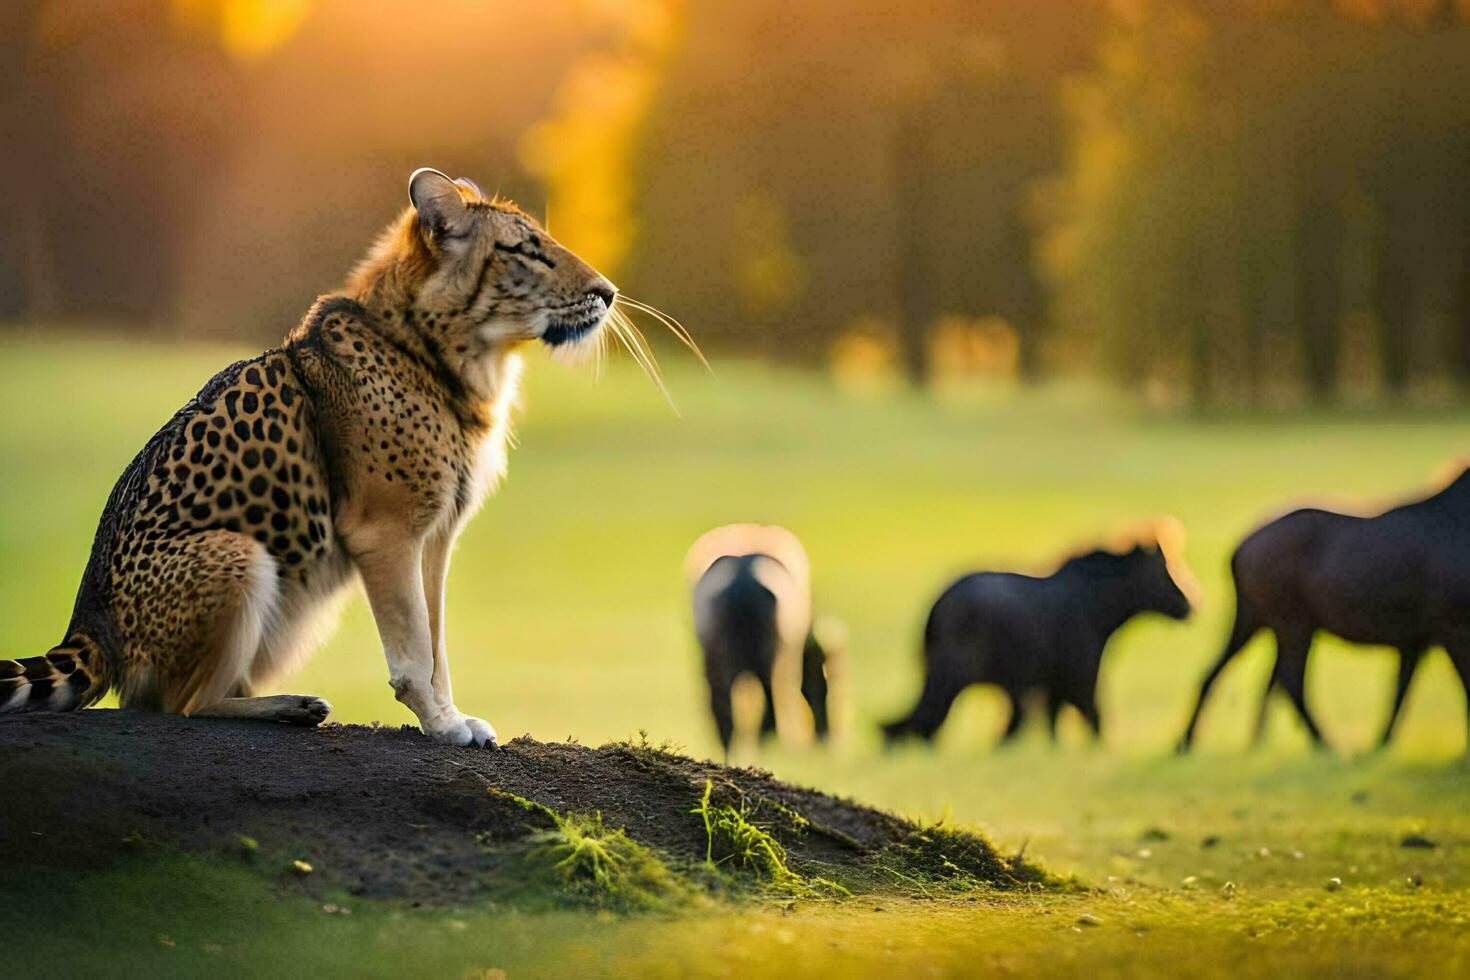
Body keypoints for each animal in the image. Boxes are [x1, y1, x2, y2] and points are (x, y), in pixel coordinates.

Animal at [0, 170, 614, 752]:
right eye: (525, 249)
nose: (607, 293)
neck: (433, 349)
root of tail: (89, 623)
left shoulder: (435, 538)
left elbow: (436, 641)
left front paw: (452, 716)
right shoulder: (386, 534)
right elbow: (415, 651)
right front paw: (441, 726)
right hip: (238, 551)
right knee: (177, 705)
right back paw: (285, 706)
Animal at [876, 528, 1187, 743]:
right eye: (1165, 572)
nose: (1190, 605)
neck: (1096, 605)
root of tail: (936, 607)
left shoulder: (1052, 685)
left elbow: (1053, 724)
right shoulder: (1079, 679)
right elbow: (1092, 718)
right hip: (957, 673)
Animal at [1176, 467, 1470, 752]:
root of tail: (1237, 551)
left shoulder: (1415, 640)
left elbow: (1400, 690)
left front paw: (1381, 744)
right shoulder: (1451, 626)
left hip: (1256, 617)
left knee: (1223, 670)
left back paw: (1193, 741)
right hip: (1292, 622)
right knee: (1289, 680)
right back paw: (1326, 743)